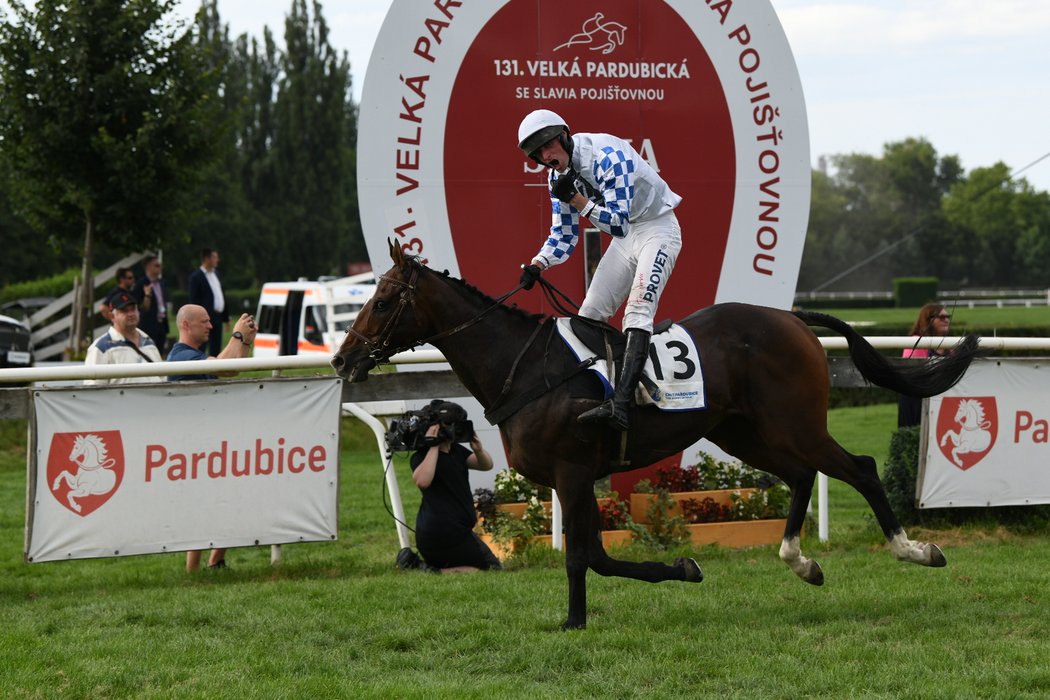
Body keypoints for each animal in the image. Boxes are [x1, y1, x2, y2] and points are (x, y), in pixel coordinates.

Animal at [329, 243, 982, 633]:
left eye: (381, 301)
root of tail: (793, 318)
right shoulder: (575, 478)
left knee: (861, 467)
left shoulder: (572, 473)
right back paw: (801, 562)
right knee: (801, 475)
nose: (341, 359)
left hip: (796, 423)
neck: (525, 367)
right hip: (744, 432)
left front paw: (574, 622)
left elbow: (583, 557)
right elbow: (597, 555)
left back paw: (914, 550)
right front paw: (683, 569)